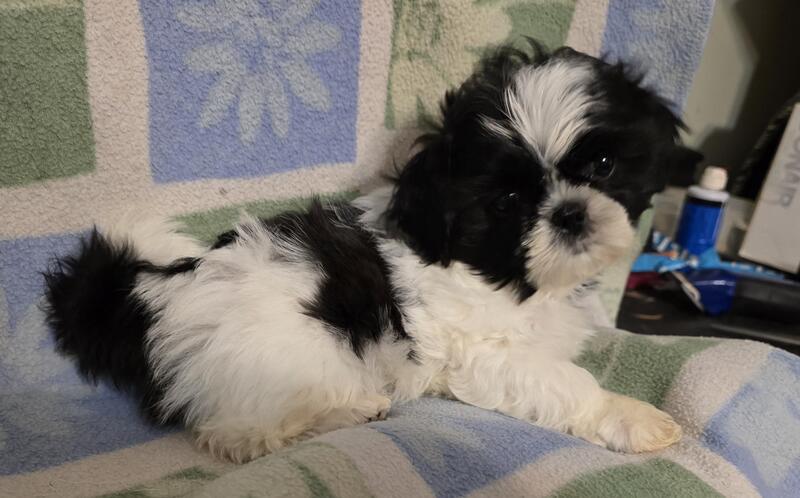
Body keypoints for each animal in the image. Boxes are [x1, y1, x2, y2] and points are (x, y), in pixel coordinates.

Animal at [44, 43, 686, 462]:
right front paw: (633, 417)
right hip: (286, 354)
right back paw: (346, 412)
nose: (571, 213)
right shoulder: (485, 351)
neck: (506, 273)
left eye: (603, 164)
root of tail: (156, 290)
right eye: (507, 201)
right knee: (240, 435)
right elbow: (564, 381)